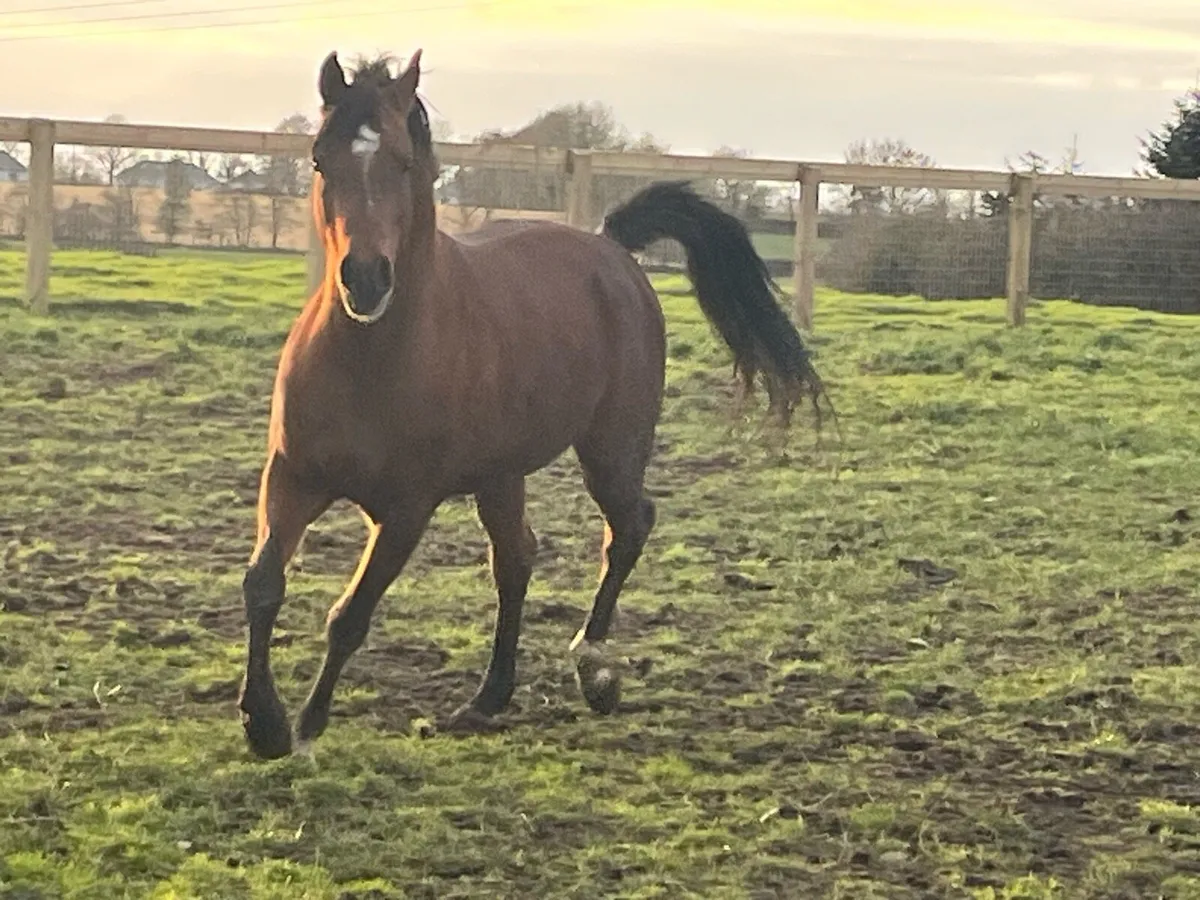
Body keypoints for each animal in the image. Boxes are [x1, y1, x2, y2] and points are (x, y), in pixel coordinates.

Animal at [236, 49, 827, 760]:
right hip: (501, 475)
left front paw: (306, 726)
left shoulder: (407, 510)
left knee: (629, 526)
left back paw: (594, 668)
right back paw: (489, 697)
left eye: (403, 161)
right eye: (321, 158)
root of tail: (609, 247)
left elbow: (350, 615)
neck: (369, 362)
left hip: (609, 452)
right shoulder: (292, 477)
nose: (366, 279)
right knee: (517, 558)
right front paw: (262, 721)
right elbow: (262, 583)